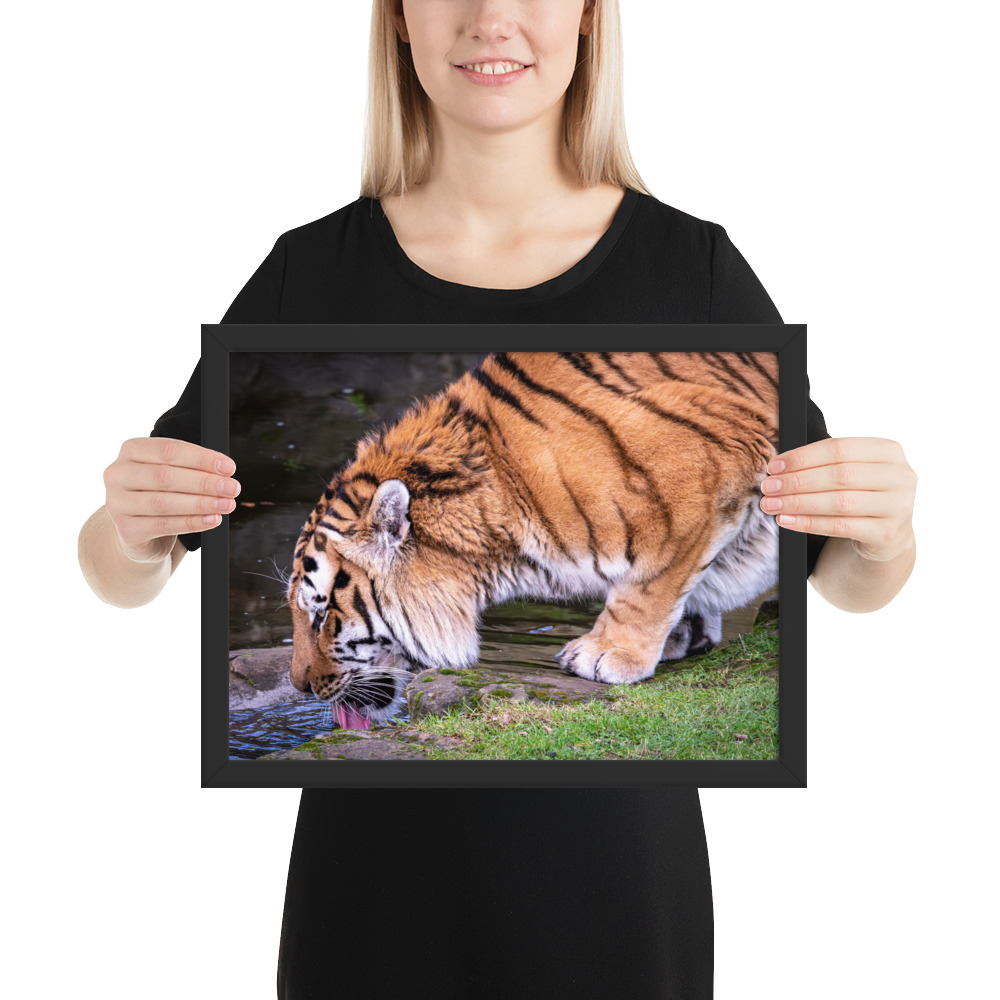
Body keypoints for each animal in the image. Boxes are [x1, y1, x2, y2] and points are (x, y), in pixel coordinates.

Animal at [287, 352, 779, 730]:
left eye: (322, 614)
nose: (299, 687)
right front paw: (684, 633)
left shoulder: (705, 458)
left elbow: (650, 578)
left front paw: (608, 653)